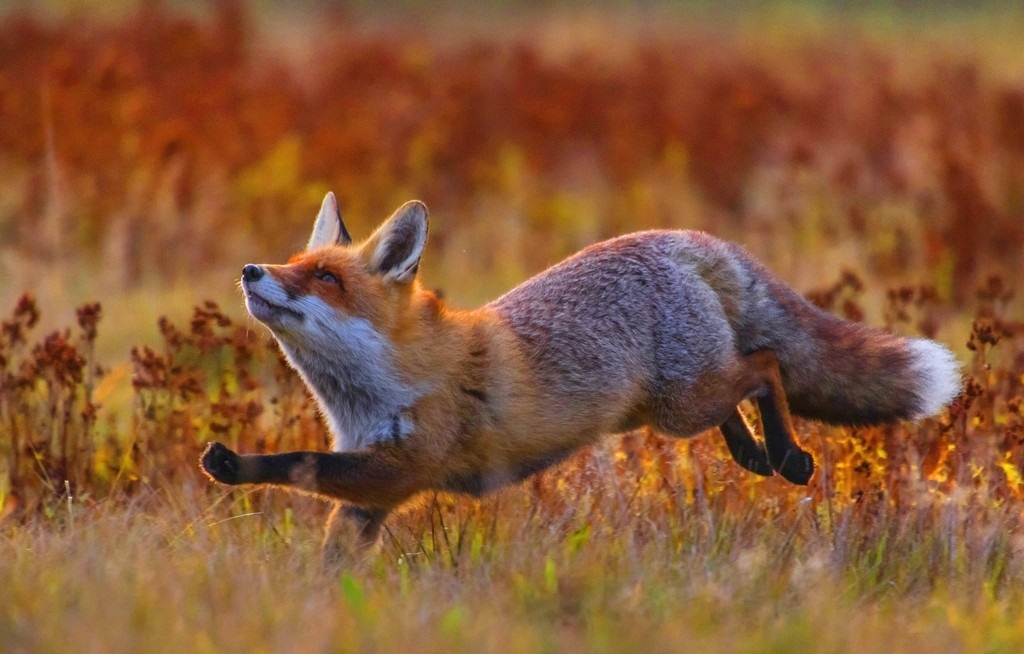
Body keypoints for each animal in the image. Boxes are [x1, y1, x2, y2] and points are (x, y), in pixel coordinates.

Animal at [197, 193, 958, 556]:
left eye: (325, 278)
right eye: (297, 262)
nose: (252, 270)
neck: (373, 390)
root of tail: (681, 239)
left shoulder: (401, 467)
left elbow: (297, 464)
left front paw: (231, 463)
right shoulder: (369, 496)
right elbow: (331, 554)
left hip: (683, 401)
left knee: (765, 366)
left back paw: (789, 455)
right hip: (674, 406)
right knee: (740, 388)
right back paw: (752, 453)